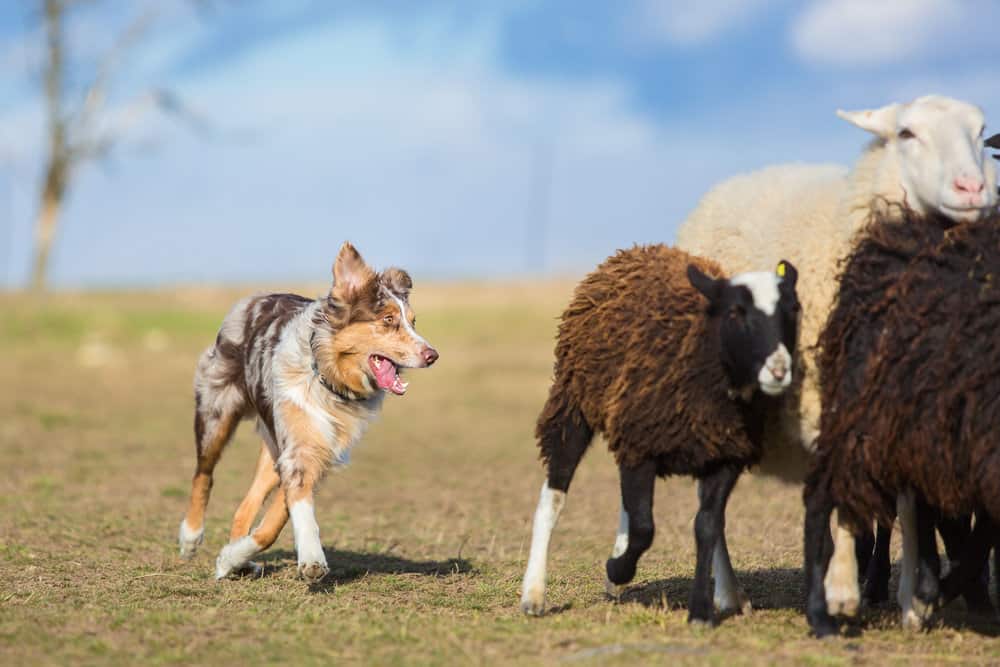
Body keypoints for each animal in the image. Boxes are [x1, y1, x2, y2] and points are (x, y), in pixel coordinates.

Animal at [178, 243, 436, 580]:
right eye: (389, 319)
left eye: (413, 322)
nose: (432, 355)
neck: (329, 377)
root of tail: (254, 298)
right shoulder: (298, 452)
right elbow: (287, 512)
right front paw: (312, 558)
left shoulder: (317, 453)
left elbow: (273, 523)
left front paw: (231, 558)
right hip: (217, 412)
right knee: (203, 473)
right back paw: (191, 537)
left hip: (273, 445)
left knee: (245, 506)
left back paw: (236, 560)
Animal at [520, 244, 800, 628]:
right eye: (736, 311)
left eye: (793, 309)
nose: (779, 370)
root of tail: (635, 251)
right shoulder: (640, 449)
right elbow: (644, 528)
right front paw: (617, 568)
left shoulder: (726, 456)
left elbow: (706, 525)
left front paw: (701, 611)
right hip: (573, 405)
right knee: (555, 495)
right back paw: (534, 594)